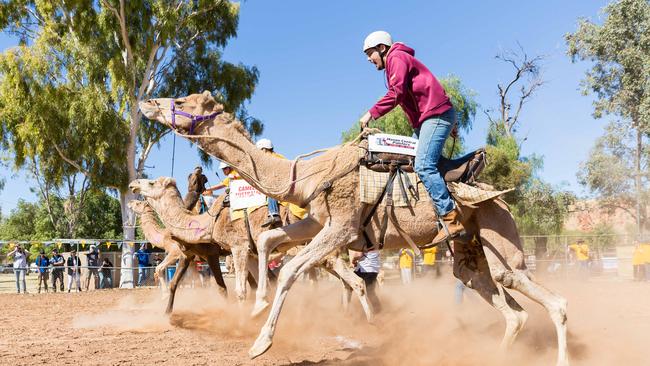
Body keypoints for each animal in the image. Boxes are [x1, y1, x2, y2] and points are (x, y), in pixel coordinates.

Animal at [129, 176, 372, 318]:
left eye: (151, 183)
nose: (132, 184)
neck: (210, 220)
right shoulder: (251, 252)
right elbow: (262, 287)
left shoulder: (236, 247)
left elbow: (238, 291)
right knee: (349, 281)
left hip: (323, 248)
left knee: (353, 280)